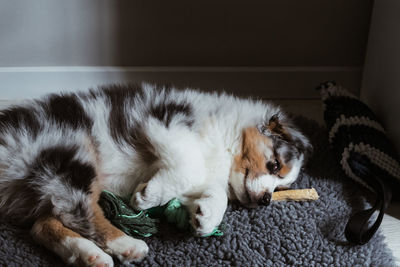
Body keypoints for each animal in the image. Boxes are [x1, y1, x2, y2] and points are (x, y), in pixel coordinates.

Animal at [0, 85, 312, 266]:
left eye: (281, 186)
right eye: (274, 165)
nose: (265, 201)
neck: (227, 137)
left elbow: (210, 188)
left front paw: (205, 216)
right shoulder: (163, 123)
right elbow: (191, 166)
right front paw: (147, 197)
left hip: (49, 181)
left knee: (44, 224)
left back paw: (90, 255)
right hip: (70, 150)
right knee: (81, 213)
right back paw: (126, 245)